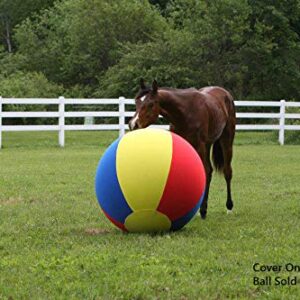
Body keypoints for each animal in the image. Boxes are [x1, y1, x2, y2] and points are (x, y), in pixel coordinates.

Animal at [127, 78, 236, 219]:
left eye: (150, 104)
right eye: (136, 102)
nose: (133, 124)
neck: (185, 112)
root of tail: (225, 94)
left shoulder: (200, 146)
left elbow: (204, 172)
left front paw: (202, 210)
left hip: (226, 141)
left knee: (225, 172)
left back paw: (228, 207)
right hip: (208, 145)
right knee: (211, 170)